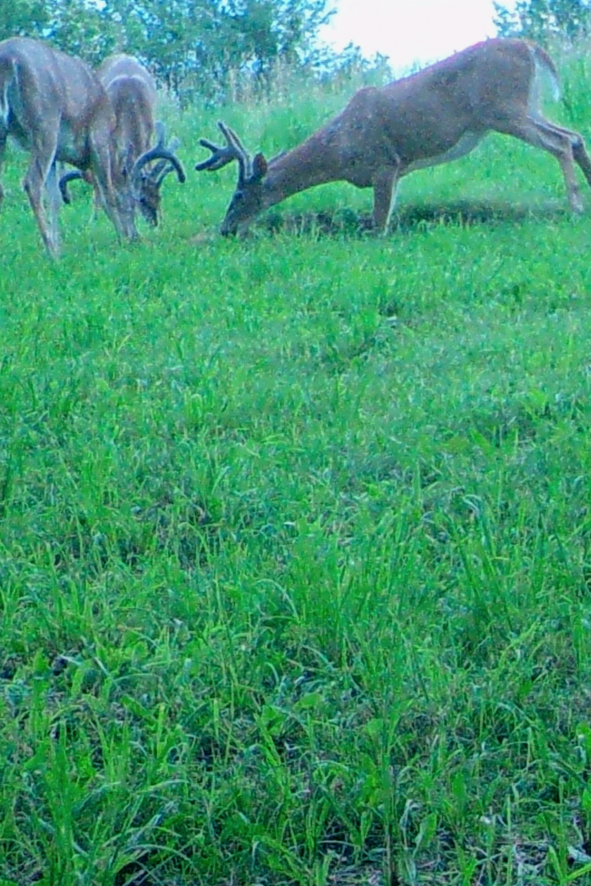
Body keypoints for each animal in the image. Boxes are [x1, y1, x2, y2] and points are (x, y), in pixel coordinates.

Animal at [0, 36, 144, 258]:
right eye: (133, 201)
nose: (135, 237)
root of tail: (7, 60)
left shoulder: (57, 156)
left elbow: (55, 198)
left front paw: (60, 245)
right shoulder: (98, 136)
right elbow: (108, 193)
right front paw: (122, 240)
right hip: (45, 124)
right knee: (31, 183)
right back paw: (51, 253)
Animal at [195, 38, 591, 236]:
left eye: (239, 194)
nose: (226, 229)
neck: (338, 150)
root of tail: (531, 47)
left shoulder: (383, 163)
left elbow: (379, 225)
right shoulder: (396, 170)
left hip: (504, 108)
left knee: (560, 142)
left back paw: (575, 206)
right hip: (525, 105)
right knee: (573, 135)